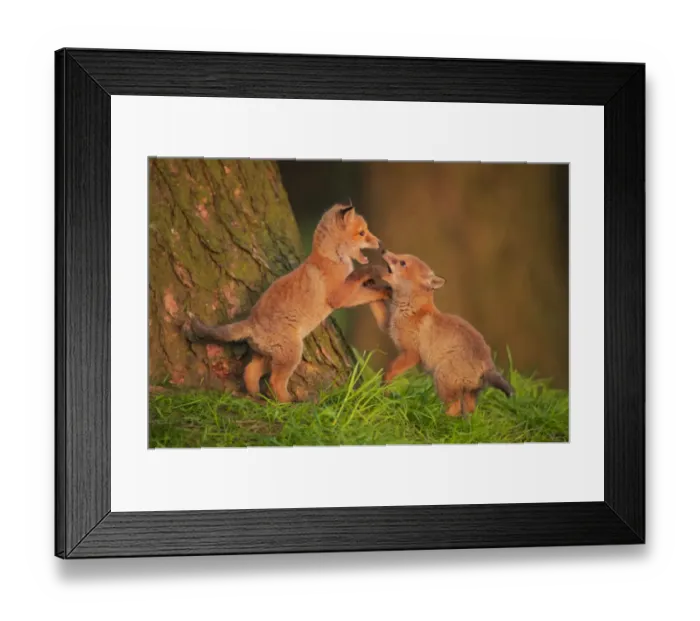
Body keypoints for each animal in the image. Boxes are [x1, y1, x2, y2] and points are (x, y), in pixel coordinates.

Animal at [188, 203, 389, 403]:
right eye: (362, 233)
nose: (380, 242)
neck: (331, 258)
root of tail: (251, 322)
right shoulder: (339, 297)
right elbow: (360, 280)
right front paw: (378, 278)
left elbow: (365, 290)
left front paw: (381, 287)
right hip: (291, 354)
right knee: (275, 381)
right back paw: (289, 404)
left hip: (267, 357)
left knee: (250, 372)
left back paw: (257, 397)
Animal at [376, 250, 515, 417]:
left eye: (402, 262)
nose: (383, 250)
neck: (412, 310)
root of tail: (488, 364)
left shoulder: (411, 353)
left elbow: (390, 370)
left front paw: (385, 386)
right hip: (469, 393)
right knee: (470, 412)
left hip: (442, 378)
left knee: (454, 408)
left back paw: (436, 419)